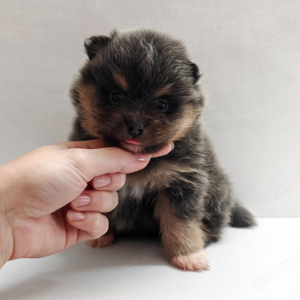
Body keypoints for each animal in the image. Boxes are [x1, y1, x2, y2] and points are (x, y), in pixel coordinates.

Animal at [69, 28, 255, 272]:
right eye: (116, 96)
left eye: (162, 105)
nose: (135, 126)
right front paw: (101, 236)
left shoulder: (182, 183)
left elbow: (181, 223)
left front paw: (189, 255)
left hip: (218, 192)